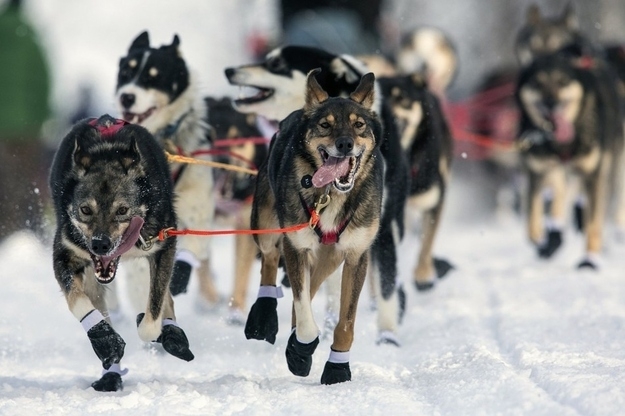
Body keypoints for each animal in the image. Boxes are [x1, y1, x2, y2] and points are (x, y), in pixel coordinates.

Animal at [114, 32, 219, 310]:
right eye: (125, 73)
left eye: (154, 76)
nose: (126, 96)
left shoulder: (198, 210)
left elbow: (192, 242)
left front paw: (180, 273)